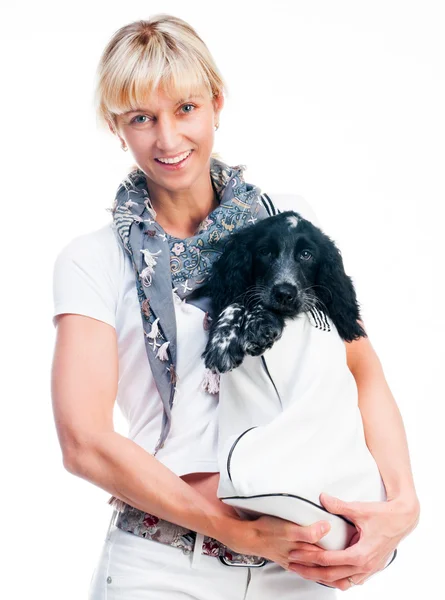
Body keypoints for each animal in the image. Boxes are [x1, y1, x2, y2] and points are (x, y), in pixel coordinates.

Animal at [196, 210, 366, 370]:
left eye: (306, 254)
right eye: (265, 252)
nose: (284, 294)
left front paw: (258, 326)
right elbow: (235, 301)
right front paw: (222, 343)